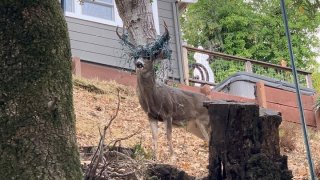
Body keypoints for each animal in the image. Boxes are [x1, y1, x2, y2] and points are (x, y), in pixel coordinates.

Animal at [116, 23, 211, 159]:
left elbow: (168, 136)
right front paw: (154, 157)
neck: (154, 98)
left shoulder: (169, 113)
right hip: (195, 126)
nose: (139, 64)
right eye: (135, 56)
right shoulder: (151, 115)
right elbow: (154, 137)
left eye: (148, 56)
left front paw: (172, 156)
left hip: (204, 121)